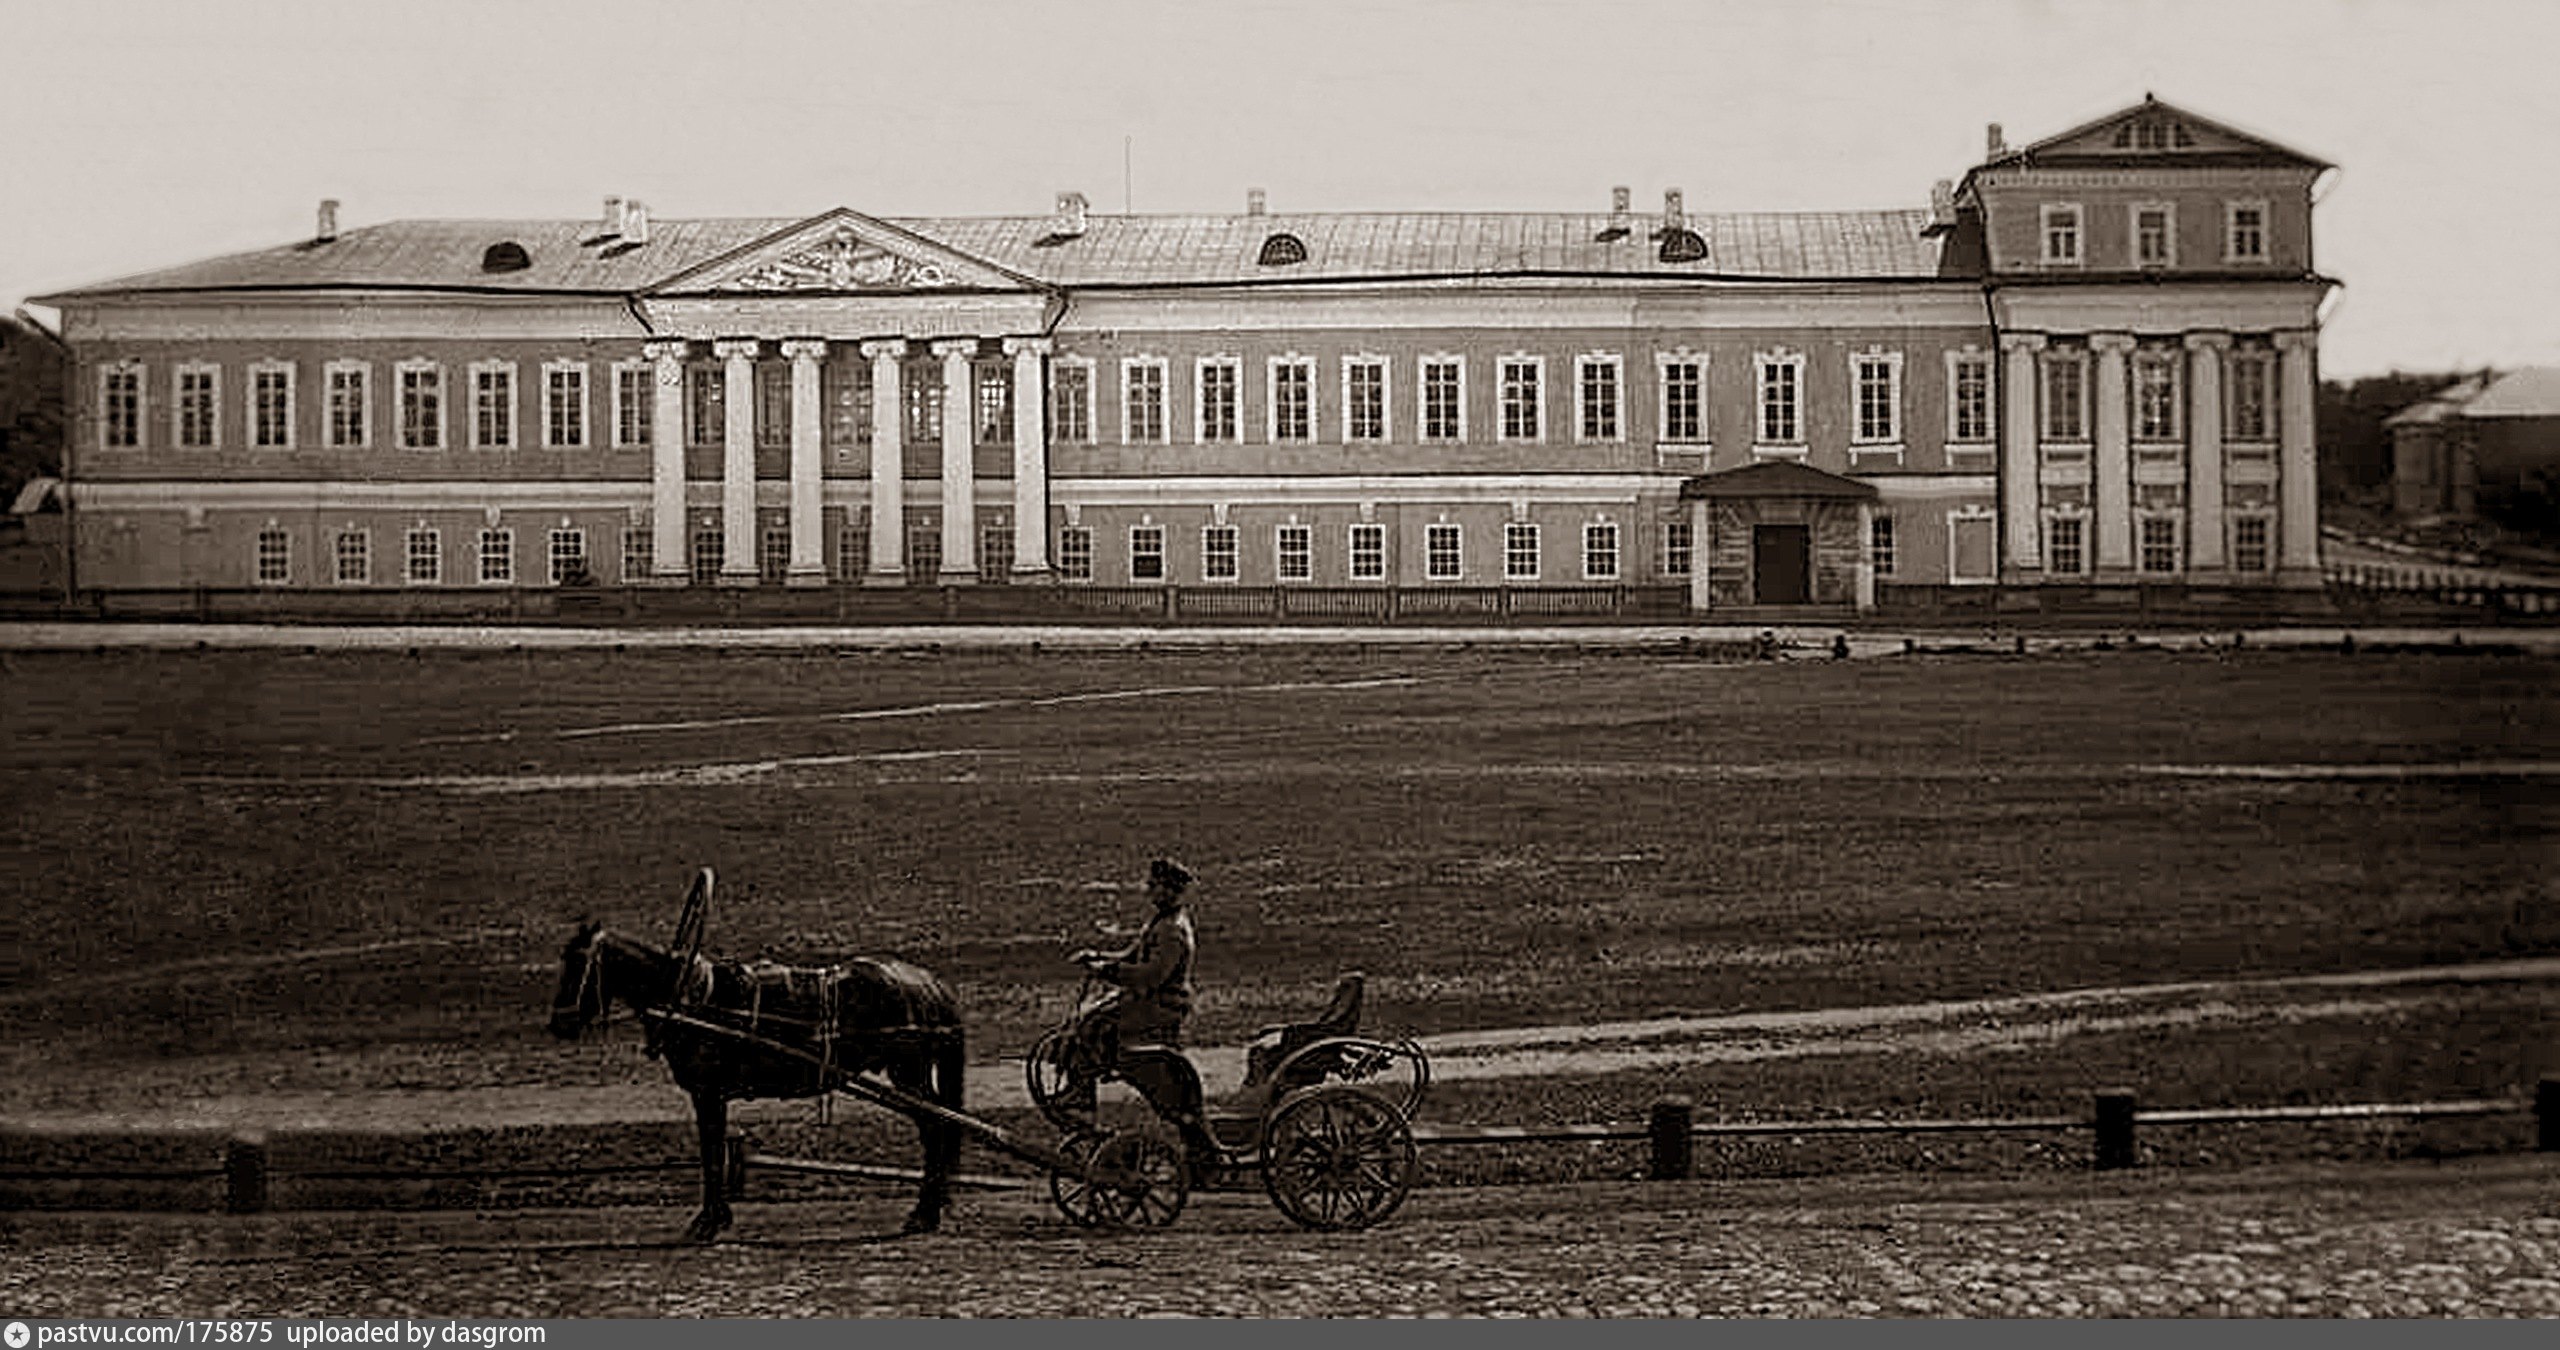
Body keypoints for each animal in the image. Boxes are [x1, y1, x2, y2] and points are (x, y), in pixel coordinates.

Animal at [545, 922, 962, 1239]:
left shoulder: (708, 1094)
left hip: (909, 1070)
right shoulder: (710, 1095)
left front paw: (708, 1221)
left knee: (934, 1128)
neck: (690, 1001)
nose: (559, 1023)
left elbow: (712, 1153)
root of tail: (928, 981)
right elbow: (713, 1151)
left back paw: (924, 1213)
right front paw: (716, 1217)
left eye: (578, 962)